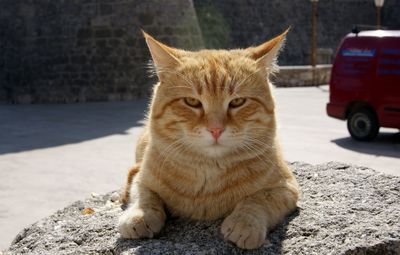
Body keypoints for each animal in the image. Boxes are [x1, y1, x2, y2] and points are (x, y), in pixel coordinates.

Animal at [119, 29, 300, 249]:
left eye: (238, 102)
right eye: (192, 102)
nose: (215, 129)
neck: (208, 173)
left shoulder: (286, 188)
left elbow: (258, 200)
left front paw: (245, 222)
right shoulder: (144, 179)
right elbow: (144, 195)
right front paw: (139, 215)